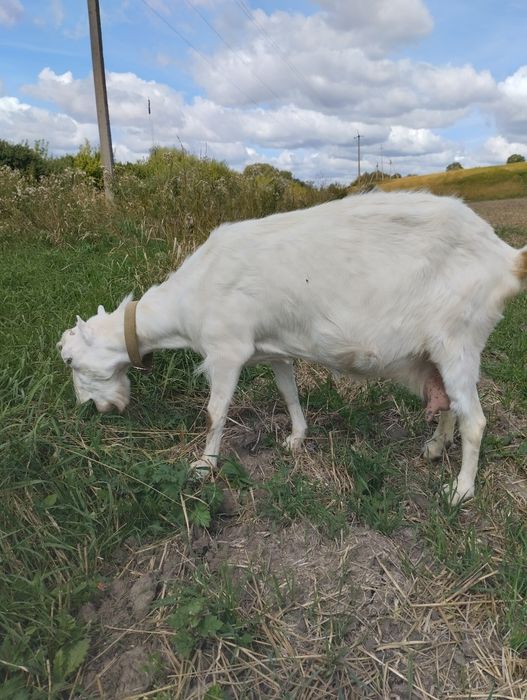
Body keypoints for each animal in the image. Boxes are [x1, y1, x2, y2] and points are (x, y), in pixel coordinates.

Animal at [57, 191, 527, 504]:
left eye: (69, 360)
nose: (90, 408)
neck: (191, 294)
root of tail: (505, 257)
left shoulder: (226, 349)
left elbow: (215, 411)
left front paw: (204, 466)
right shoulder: (274, 350)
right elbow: (289, 392)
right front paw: (296, 438)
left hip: (458, 339)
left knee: (476, 420)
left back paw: (461, 489)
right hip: (435, 352)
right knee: (448, 399)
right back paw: (435, 446)